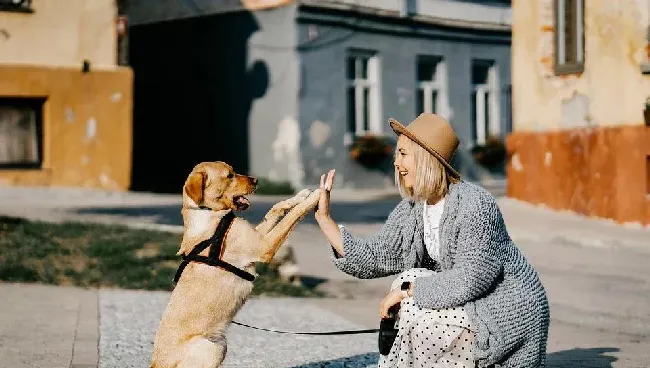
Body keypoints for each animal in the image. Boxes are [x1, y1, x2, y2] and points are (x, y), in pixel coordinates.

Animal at [147, 162, 318, 368]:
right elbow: (292, 216)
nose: (256, 180)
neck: (208, 213)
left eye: (234, 171)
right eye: (229, 176)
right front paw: (317, 196)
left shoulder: (258, 236)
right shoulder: (264, 246)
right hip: (214, 347)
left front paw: (301, 195)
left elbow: (275, 209)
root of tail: (156, 364)